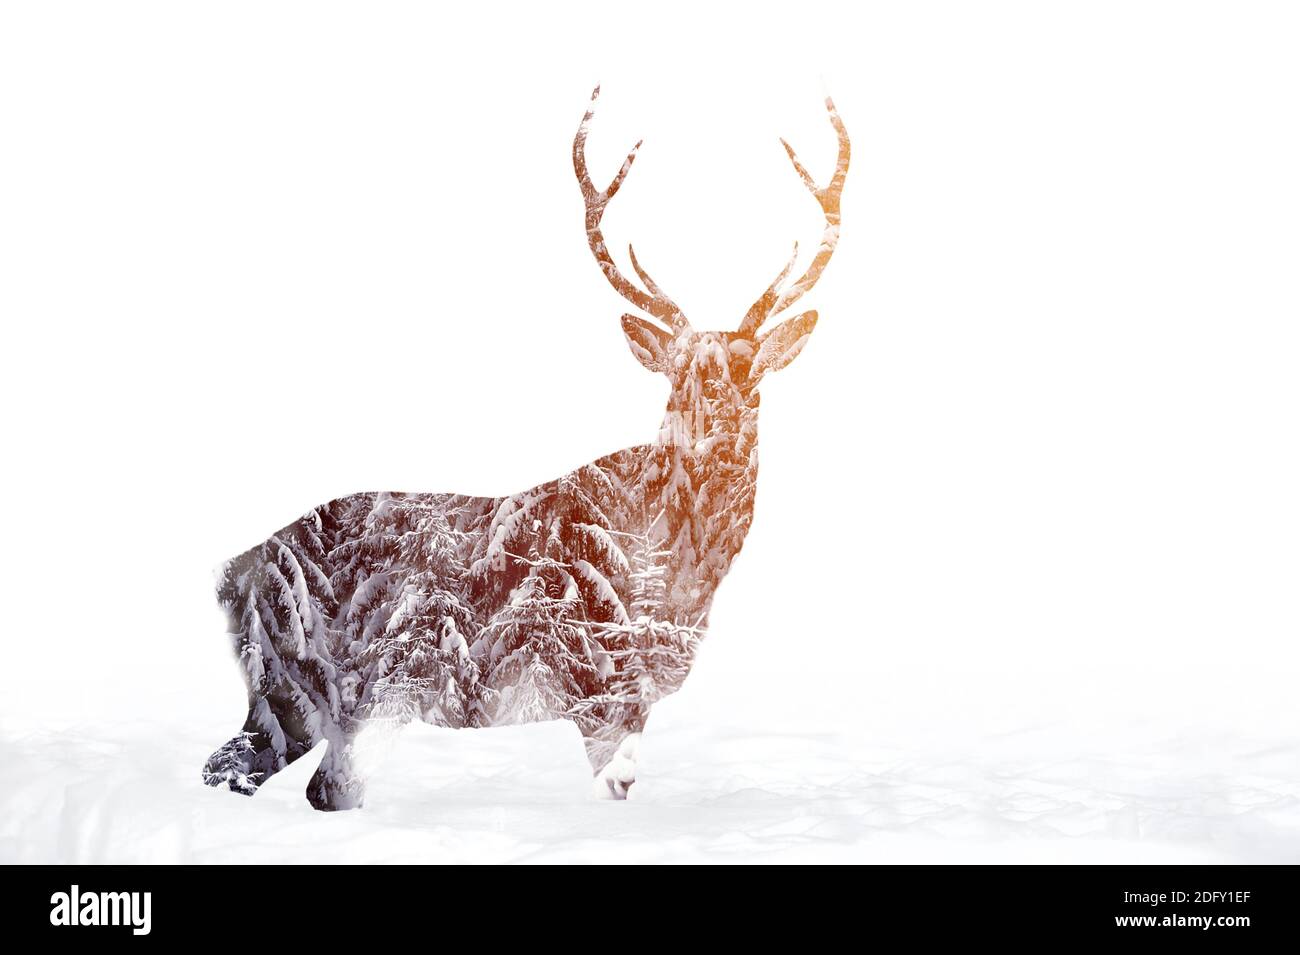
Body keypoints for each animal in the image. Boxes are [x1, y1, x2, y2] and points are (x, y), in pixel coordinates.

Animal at [200, 87, 852, 805]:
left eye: (748, 371)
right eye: (677, 375)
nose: (715, 430)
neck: (674, 580)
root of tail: (234, 569)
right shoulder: (592, 680)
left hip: (287, 699)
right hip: (351, 680)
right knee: (320, 785)